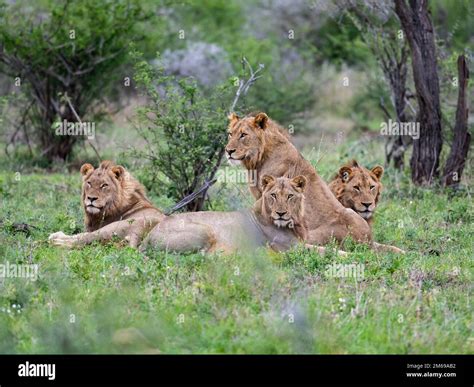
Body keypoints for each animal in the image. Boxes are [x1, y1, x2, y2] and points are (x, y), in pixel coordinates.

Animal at [224, 111, 372, 246]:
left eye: (243, 135)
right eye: (230, 134)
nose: (228, 151)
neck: (258, 160)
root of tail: (367, 241)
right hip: (351, 211)